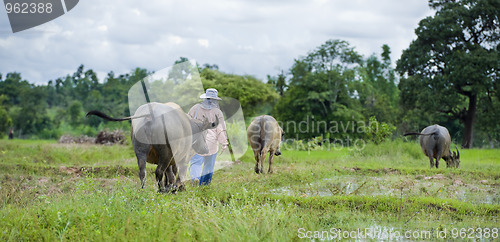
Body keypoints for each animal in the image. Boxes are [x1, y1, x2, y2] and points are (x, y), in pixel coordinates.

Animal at [88, 101, 217, 192]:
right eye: (204, 133)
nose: (206, 149)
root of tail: (150, 114)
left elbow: (169, 174)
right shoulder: (181, 158)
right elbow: (177, 174)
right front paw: (177, 188)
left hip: (141, 151)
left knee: (142, 172)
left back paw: (144, 189)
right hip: (166, 153)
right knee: (159, 171)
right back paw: (162, 190)